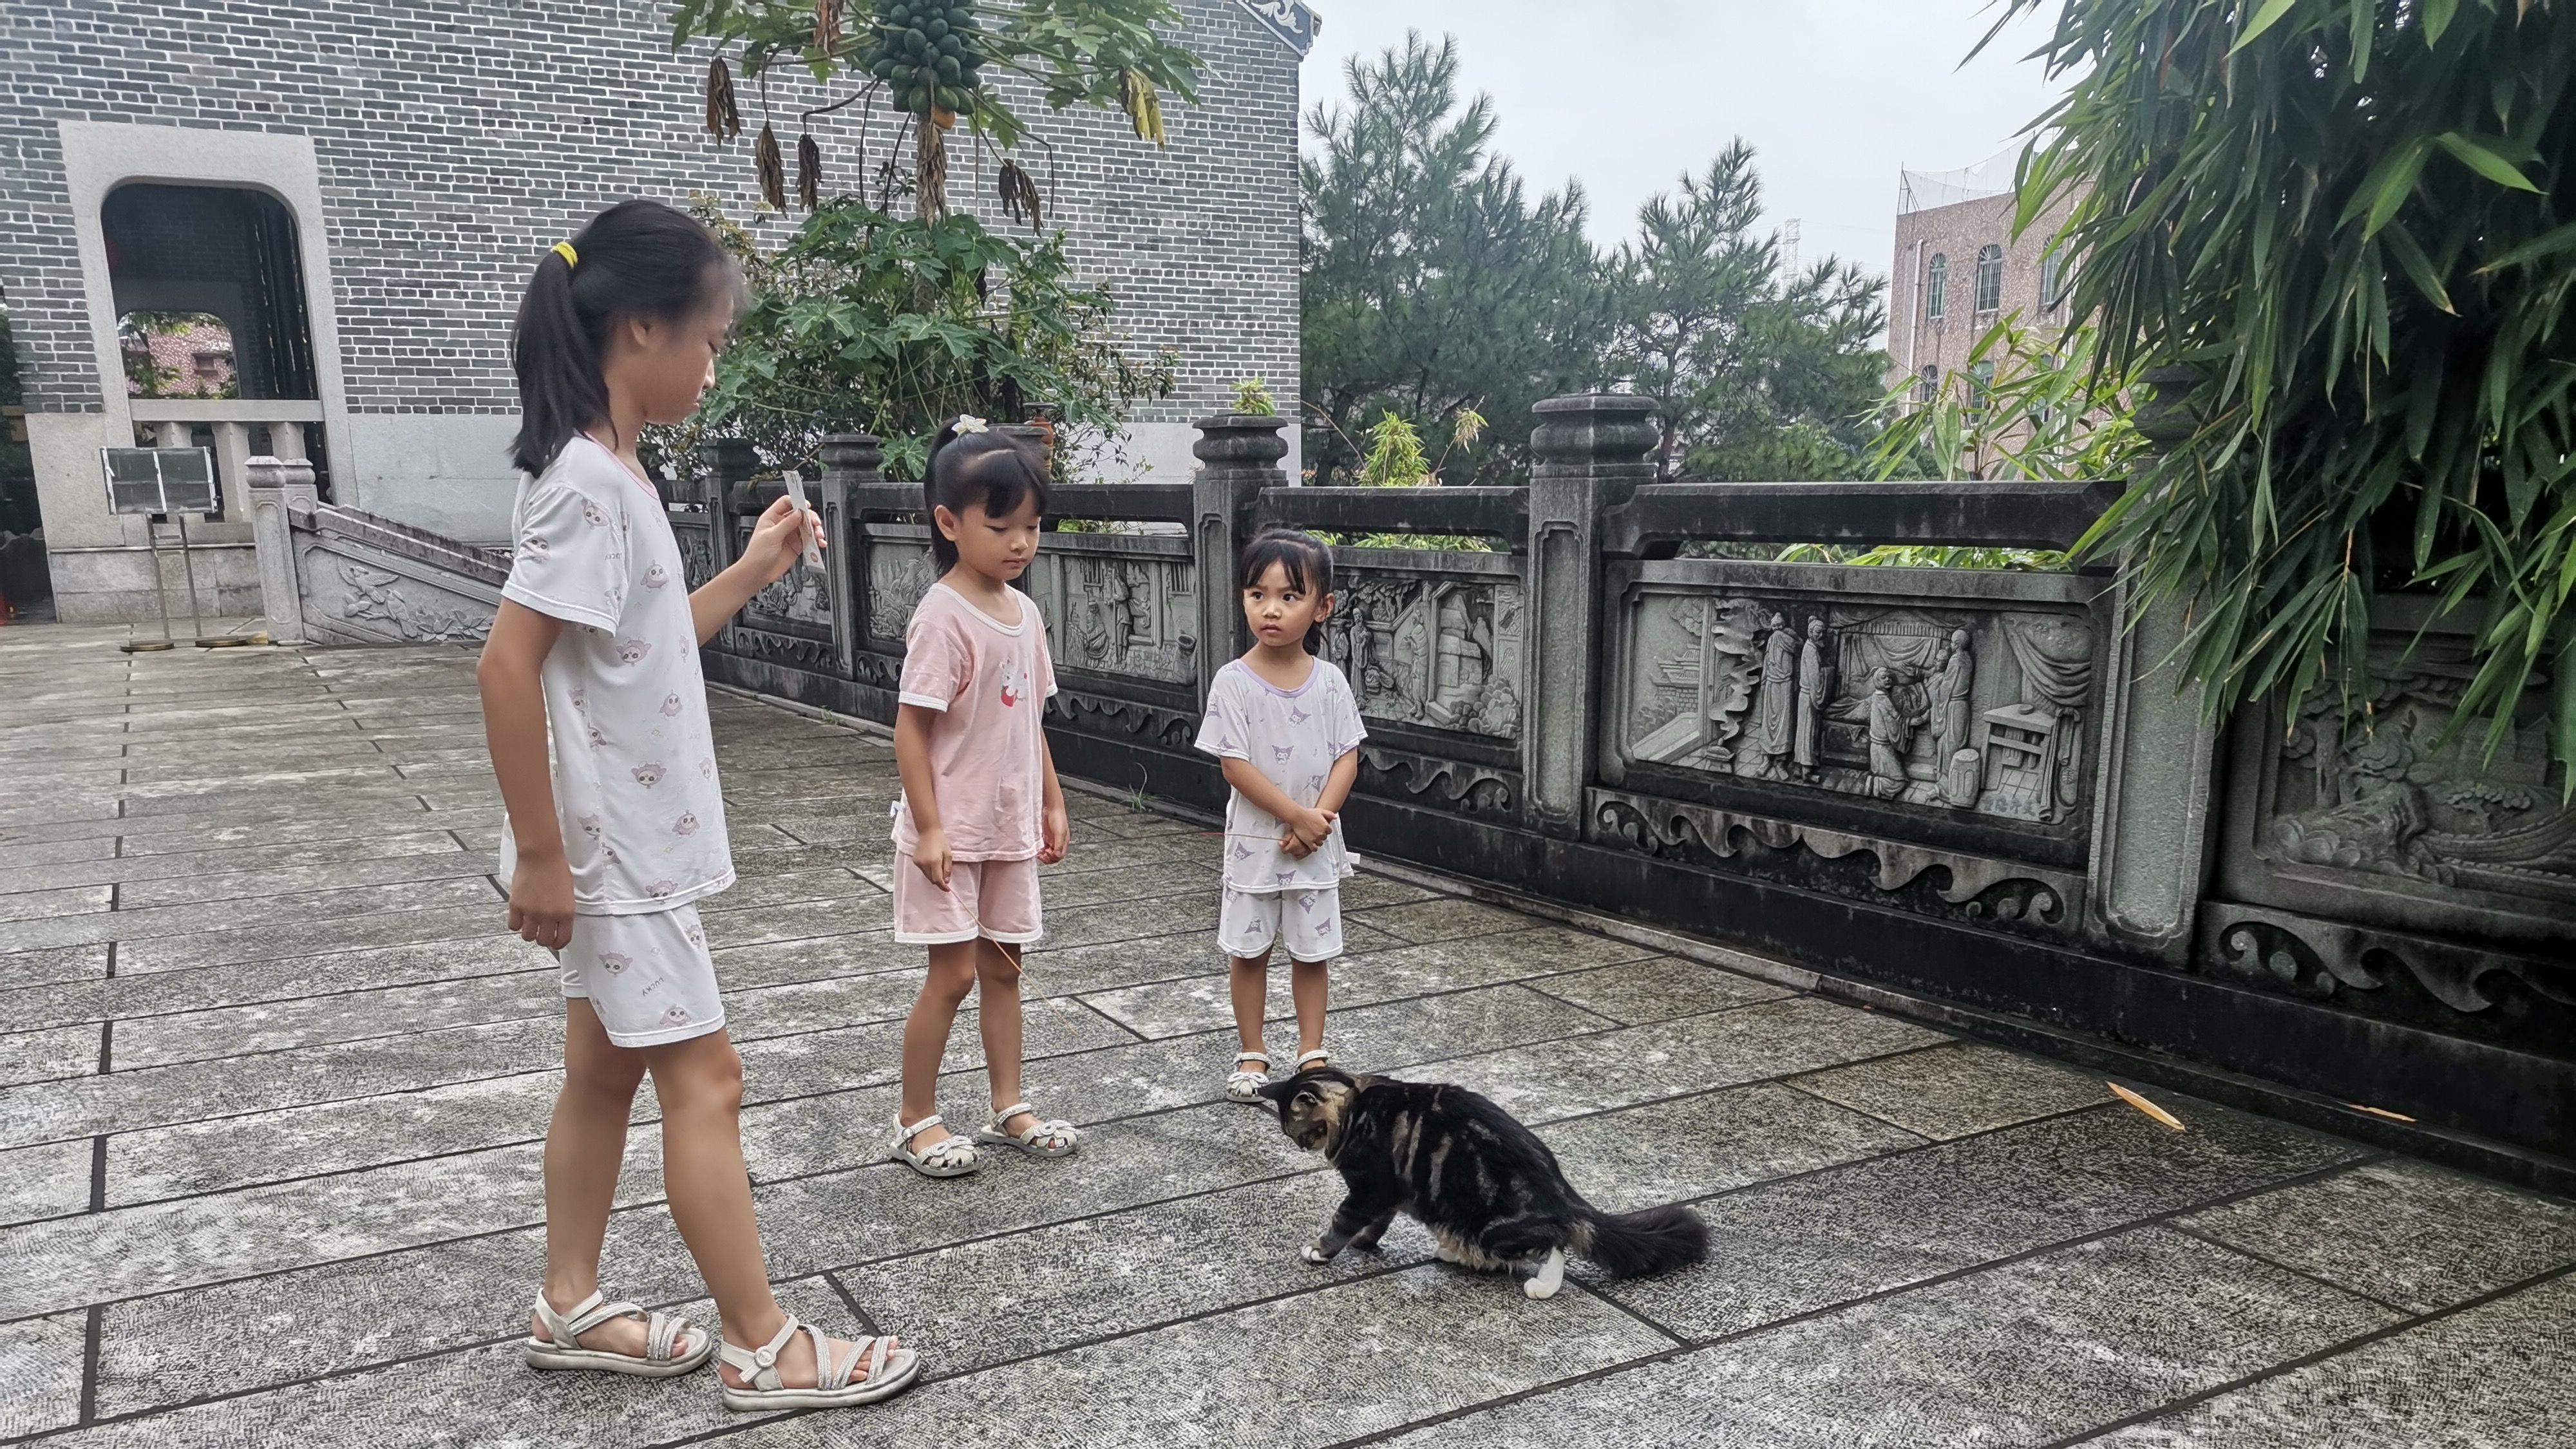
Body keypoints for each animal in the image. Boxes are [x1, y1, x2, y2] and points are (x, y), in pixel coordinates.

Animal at [1252, 1062, 1710, 1299]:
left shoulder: (1371, 1186)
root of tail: (1565, 1196)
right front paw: (1366, 1244)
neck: (1358, 1105)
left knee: (1553, 1245)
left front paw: (1322, 1250)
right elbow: (1376, 1223)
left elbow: (1344, 1220)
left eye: (1296, 1129)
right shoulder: (1391, 1193)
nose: (1298, 1145)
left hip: (1489, 1226)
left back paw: (1540, 1285)